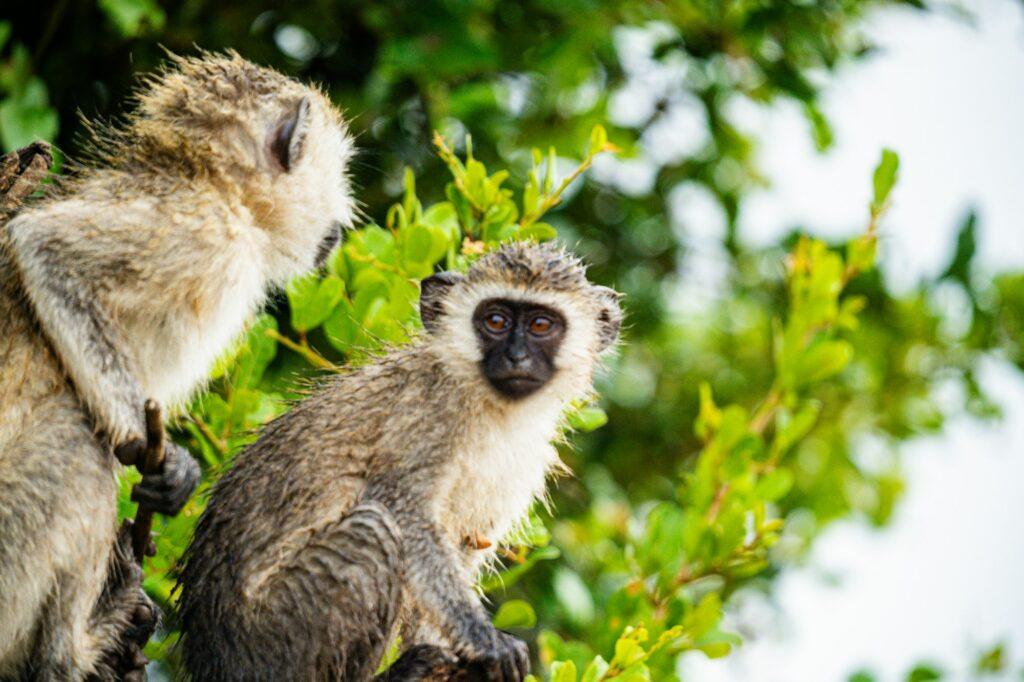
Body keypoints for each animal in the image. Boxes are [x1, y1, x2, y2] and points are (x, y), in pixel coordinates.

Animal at [0, 50, 356, 675]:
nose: (340, 228)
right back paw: (76, 646)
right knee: (76, 439)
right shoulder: (205, 234)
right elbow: (43, 248)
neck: (215, 183)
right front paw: (159, 460)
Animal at [178, 242, 622, 679]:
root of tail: (214, 658)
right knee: (374, 527)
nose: (516, 357)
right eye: (495, 320)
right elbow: (407, 516)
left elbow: (465, 543)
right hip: (276, 635)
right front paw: (484, 640)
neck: (492, 408)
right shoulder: (425, 418)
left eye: (541, 326)